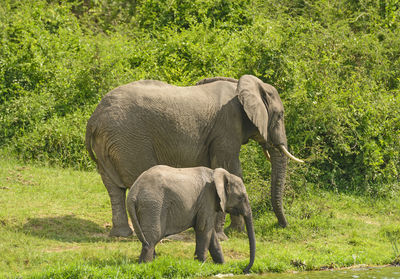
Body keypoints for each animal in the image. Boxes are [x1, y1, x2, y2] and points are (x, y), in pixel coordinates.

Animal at [85, 74, 304, 238]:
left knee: (114, 188)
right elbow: (229, 168)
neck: (243, 85)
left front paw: (233, 231)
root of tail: (94, 118)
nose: (282, 225)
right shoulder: (227, 126)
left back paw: (121, 234)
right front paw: (227, 234)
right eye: (280, 116)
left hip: (108, 142)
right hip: (130, 139)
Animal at [126, 166, 255, 274]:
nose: (245, 270)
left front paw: (222, 265)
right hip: (153, 205)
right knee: (152, 237)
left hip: (146, 206)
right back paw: (146, 265)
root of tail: (133, 192)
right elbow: (203, 228)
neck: (217, 174)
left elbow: (210, 233)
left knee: (149, 238)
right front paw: (201, 264)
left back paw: (153, 261)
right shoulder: (207, 199)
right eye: (241, 197)